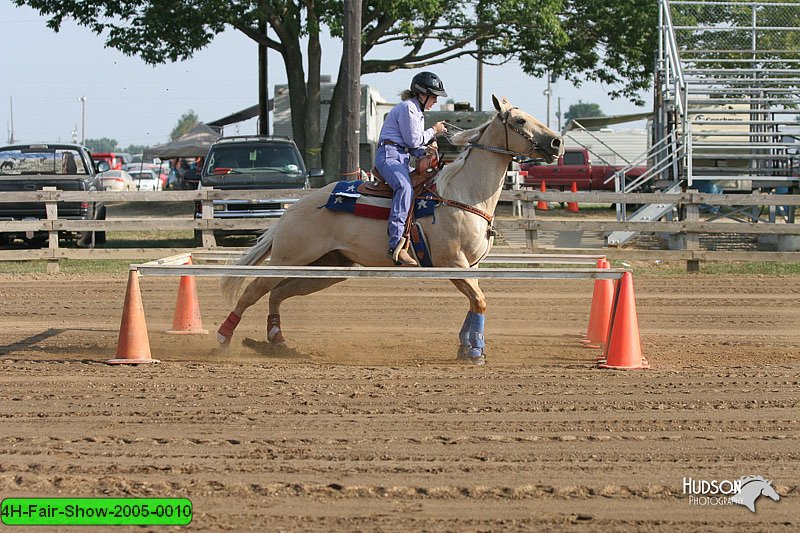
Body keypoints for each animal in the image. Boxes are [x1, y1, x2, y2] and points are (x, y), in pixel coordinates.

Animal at [216, 93, 560, 364]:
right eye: (519, 120)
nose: (556, 142)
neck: (464, 192)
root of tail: (292, 212)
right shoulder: (453, 262)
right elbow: (480, 300)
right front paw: (475, 352)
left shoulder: (468, 267)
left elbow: (476, 300)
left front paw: (467, 348)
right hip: (291, 257)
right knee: (253, 291)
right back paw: (223, 338)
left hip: (327, 268)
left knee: (276, 293)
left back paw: (277, 341)